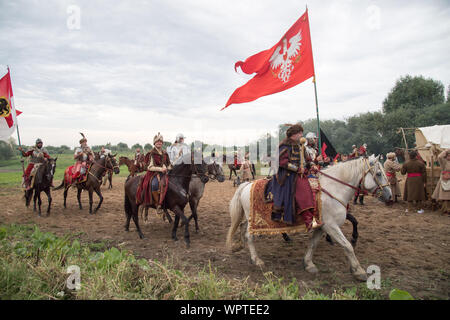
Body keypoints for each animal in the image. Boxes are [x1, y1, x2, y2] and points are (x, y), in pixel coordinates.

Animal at [227, 154, 392, 280]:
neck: (333, 188)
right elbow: (347, 246)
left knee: (242, 227)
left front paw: (308, 264)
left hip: (250, 219)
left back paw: (240, 246)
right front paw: (359, 271)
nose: (389, 195)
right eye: (378, 174)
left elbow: (313, 244)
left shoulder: (322, 226)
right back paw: (256, 259)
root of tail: (247, 185)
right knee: (249, 236)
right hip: (255, 220)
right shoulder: (331, 226)